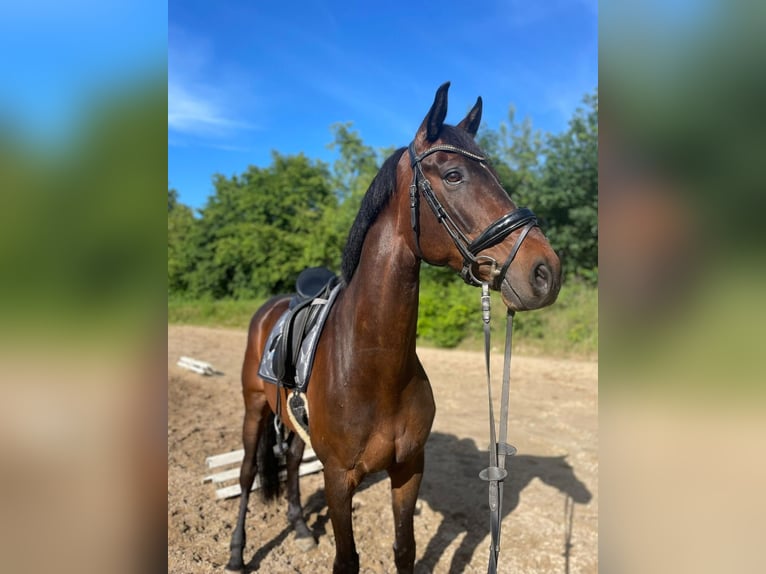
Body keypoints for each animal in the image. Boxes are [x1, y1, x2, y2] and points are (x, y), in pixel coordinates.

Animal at [226, 82, 564, 574]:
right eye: (454, 175)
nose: (545, 271)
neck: (373, 368)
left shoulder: (408, 470)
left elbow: (405, 549)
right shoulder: (339, 479)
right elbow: (347, 559)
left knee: (290, 459)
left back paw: (303, 529)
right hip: (253, 408)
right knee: (249, 473)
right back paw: (236, 551)